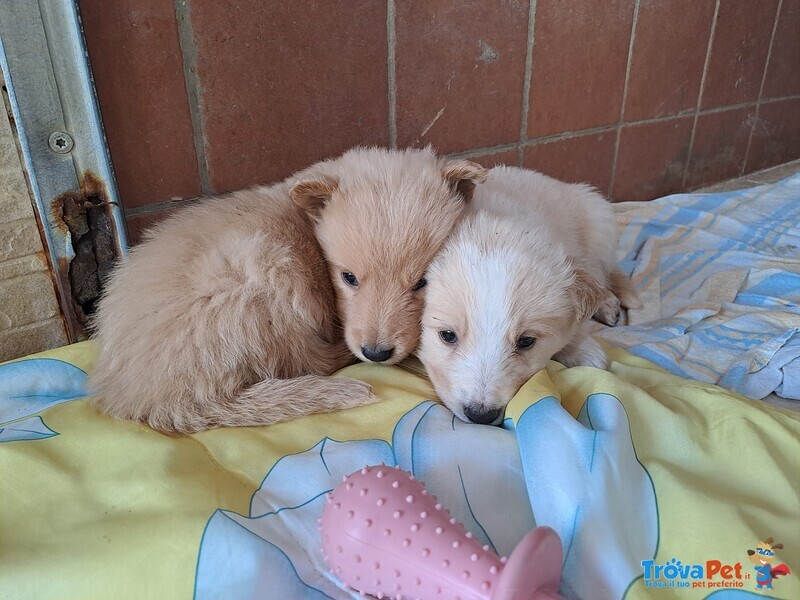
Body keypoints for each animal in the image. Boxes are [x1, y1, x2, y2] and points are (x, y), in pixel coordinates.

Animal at [88, 148, 488, 434]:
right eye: (348, 278)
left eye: (422, 282)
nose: (376, 353)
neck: (305, 221)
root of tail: (145, 399)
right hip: (269, 283)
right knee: (305, 360)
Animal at [418, 166, 636, 424]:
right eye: (447, 335)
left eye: (526, 341)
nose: (481, 415)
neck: (495, 232)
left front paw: (585, 351)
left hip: (599, 224)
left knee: (603, 274)